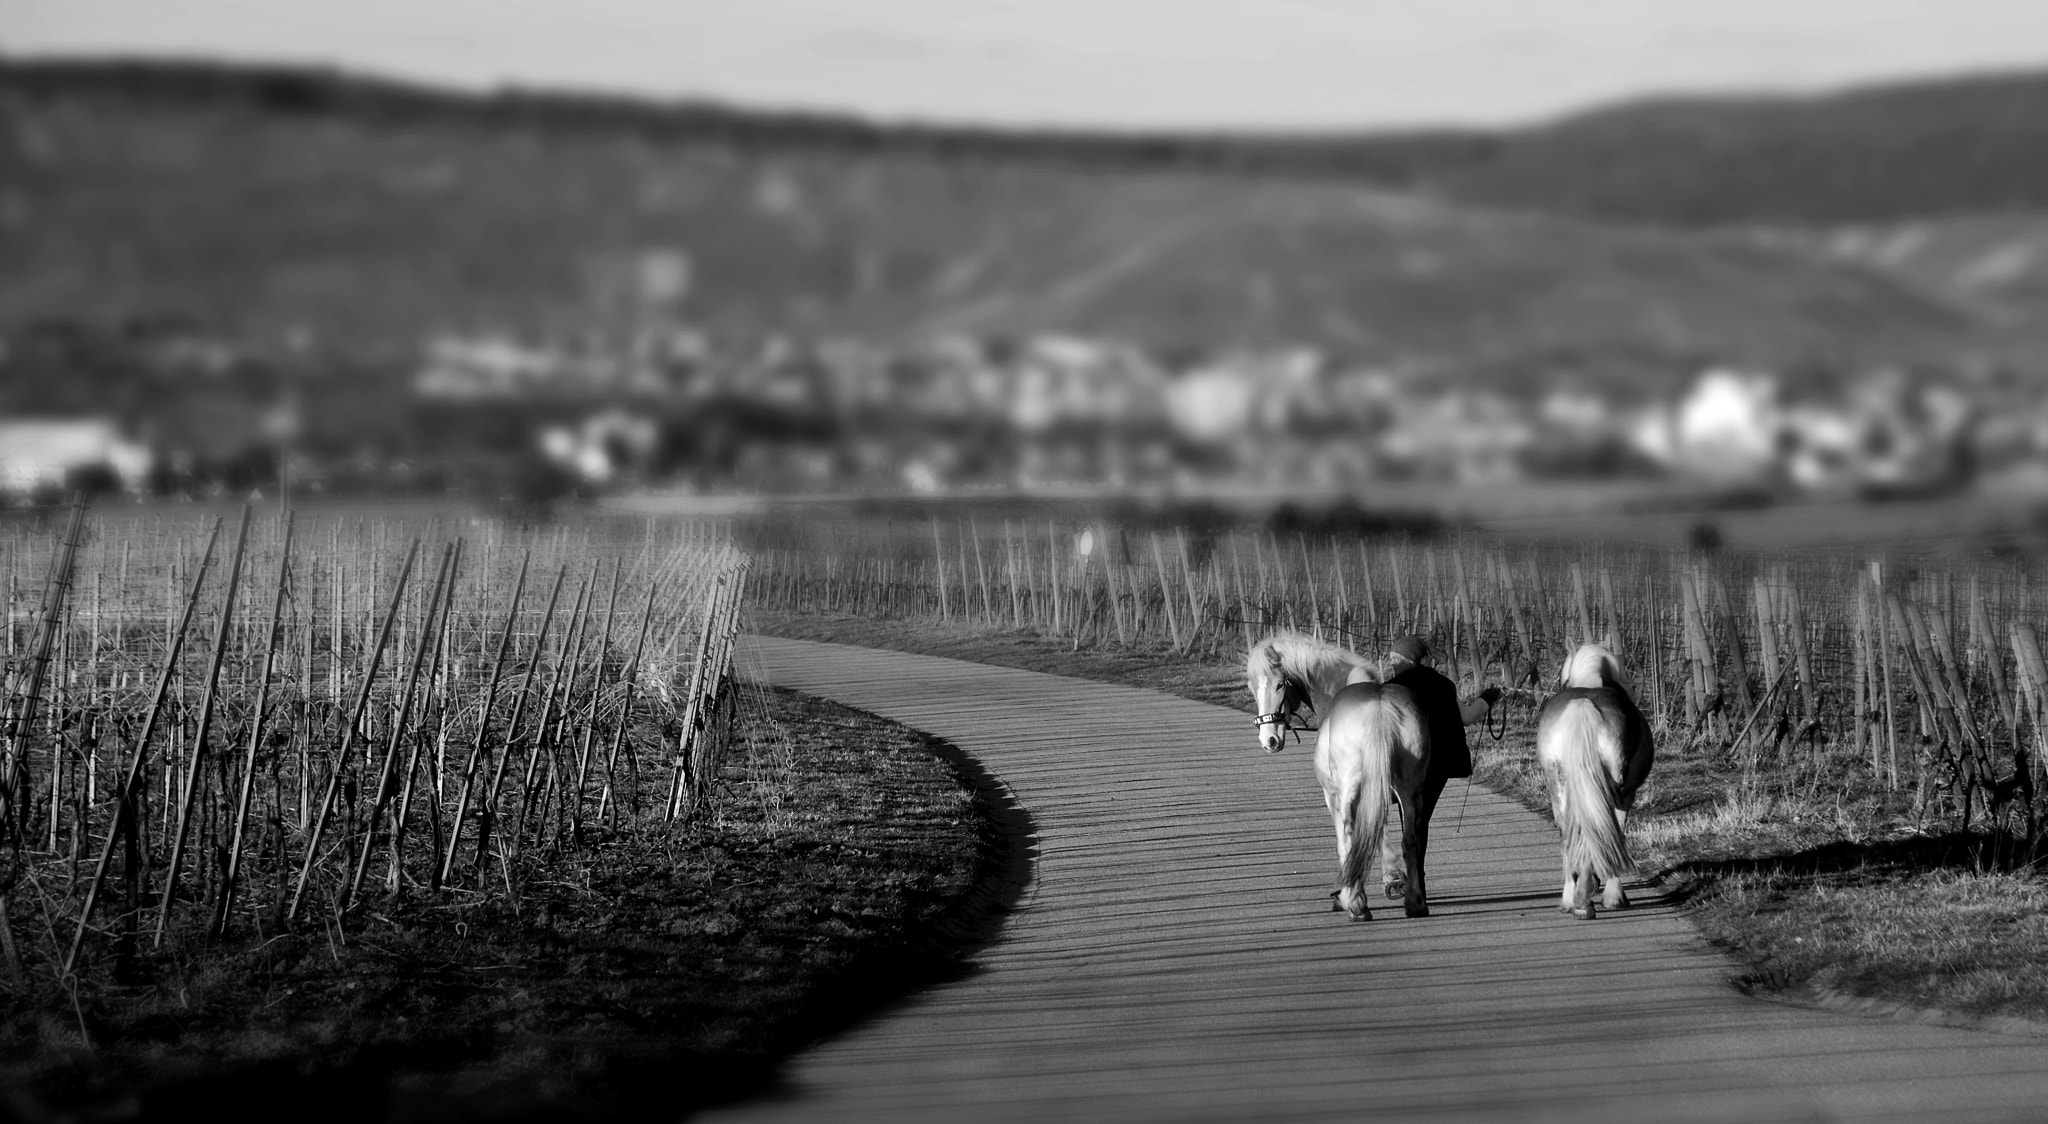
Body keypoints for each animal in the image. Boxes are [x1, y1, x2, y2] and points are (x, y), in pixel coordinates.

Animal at [1236, 630, 1433, 921]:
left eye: (1280, 685)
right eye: (1252, 687)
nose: (1269, 740)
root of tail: (1380, 709)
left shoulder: (1332, 794)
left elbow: (1344, 840)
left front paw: (1347, 895)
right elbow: (1380, 827)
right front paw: (1393, 879)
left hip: (1349, 790)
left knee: (1351, 833)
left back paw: (1357, 904)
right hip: (1411, 791)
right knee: (1411, 839)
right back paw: (1415, 902)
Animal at [1540, 642, 1646, 917]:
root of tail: (1583, 703)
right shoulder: (1626, 794)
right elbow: (1617, 833)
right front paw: (1614, 895)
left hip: (1558, 786)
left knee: (1568, 835)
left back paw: (1572, 898)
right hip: (1611, 786)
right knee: (1598, 832)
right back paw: (1587, 898)